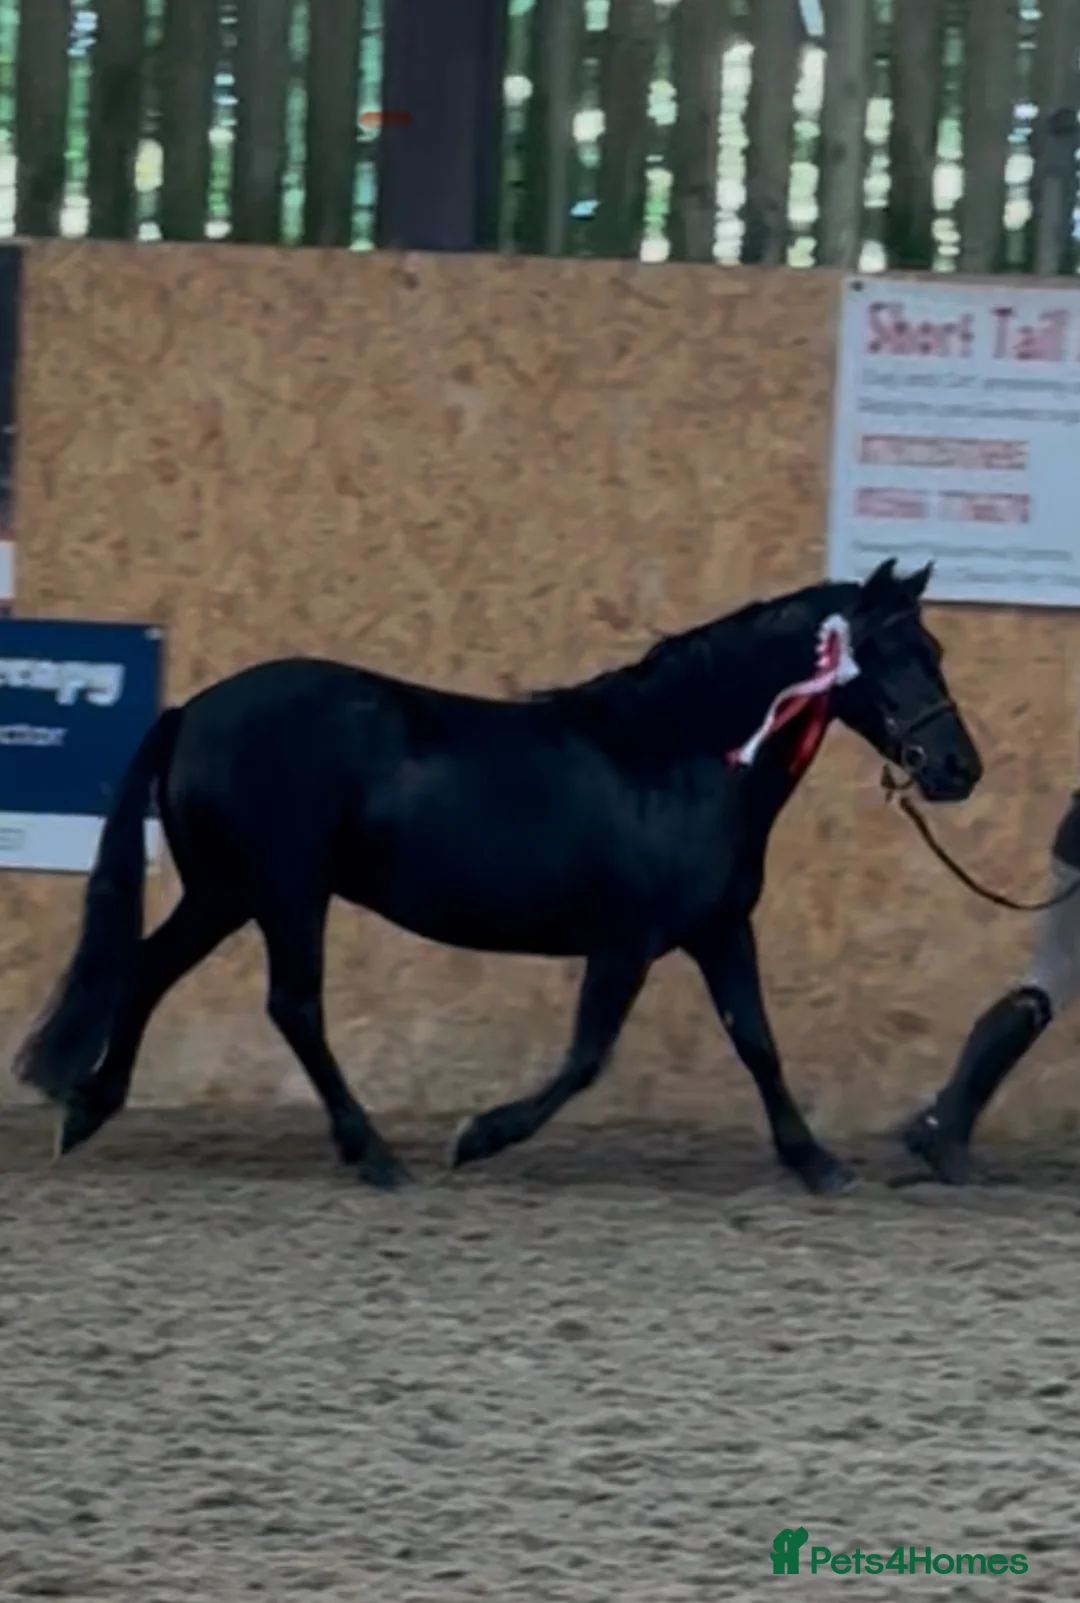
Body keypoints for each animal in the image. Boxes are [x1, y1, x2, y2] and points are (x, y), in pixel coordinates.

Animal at [11, 557, 982, 1196]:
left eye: (934, 648)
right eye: (889, 653)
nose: (957, 768)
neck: (680, 755)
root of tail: (193, 709)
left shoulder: (717, 929)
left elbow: (757, 1042)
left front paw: (815, 1160)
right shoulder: (627, 941)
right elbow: (587, 1057)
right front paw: (478, 1137)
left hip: (225, 890)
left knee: (146, 969)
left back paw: (88, 1108)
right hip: (284, 892)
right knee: (292, 1006)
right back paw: (374, 1155)